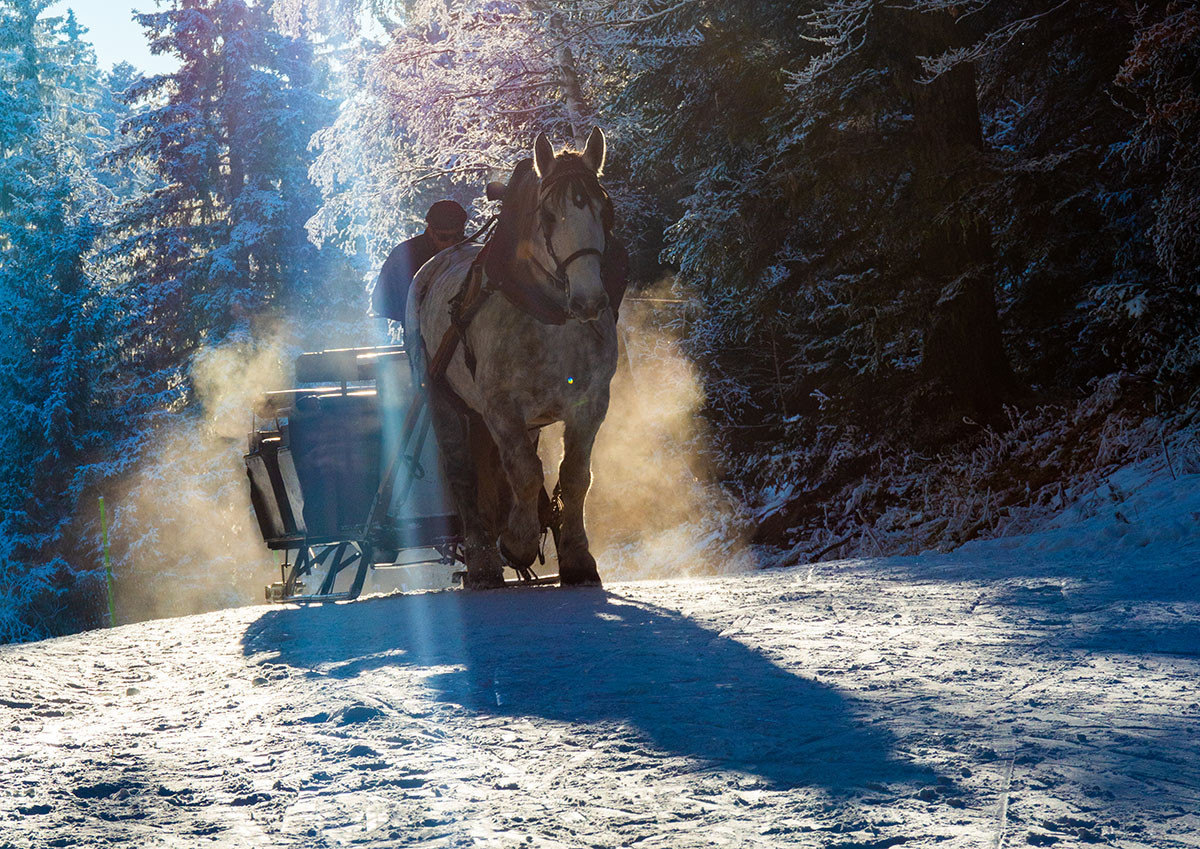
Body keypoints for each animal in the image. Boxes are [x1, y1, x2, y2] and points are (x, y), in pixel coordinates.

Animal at [410, 127, 619, 589]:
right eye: (549, 217)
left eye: (604, 211)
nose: (590, 300)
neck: (547, 315)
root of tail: (436, 262)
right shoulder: (501, 408)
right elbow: (524, 473)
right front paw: (518, 543)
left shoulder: (590, 403)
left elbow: (575, 477)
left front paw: (578, 559)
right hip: (446, 401)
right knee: (465, 477)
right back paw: (483, 562)